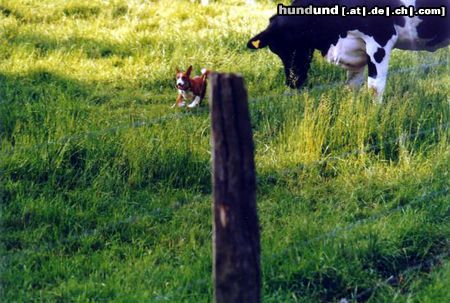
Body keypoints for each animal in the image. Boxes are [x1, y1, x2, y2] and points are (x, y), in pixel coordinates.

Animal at [248, 0, 448, 102]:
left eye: (295, 42)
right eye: (276, 50)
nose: (293, 81)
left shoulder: (380, 40)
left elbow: (375, 87)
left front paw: (375, 117)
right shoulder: (354, 49)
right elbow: (352, 86)